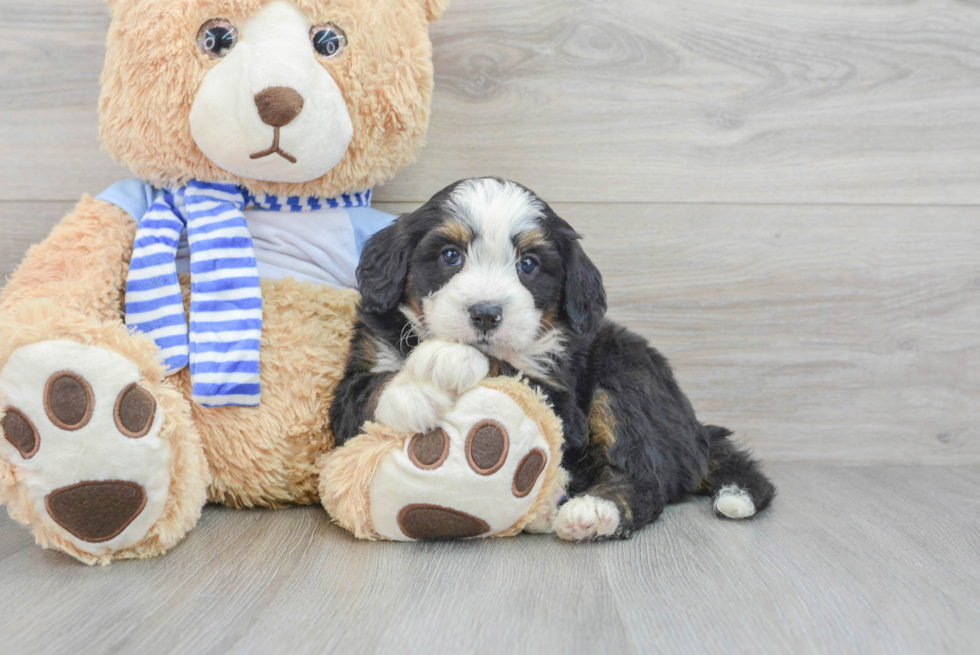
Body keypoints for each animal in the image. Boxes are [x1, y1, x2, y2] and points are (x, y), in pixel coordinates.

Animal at [334, 177, 776, 540]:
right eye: (450, 256)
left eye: (528, 264)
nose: (486, 313)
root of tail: (697, 432)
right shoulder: (355, 377)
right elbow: (369, 389)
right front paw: (412, 389)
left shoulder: (563, 404)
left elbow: (510, 369)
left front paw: (447, 359)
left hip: (625, 374)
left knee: (647, 475)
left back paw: (595, 511)